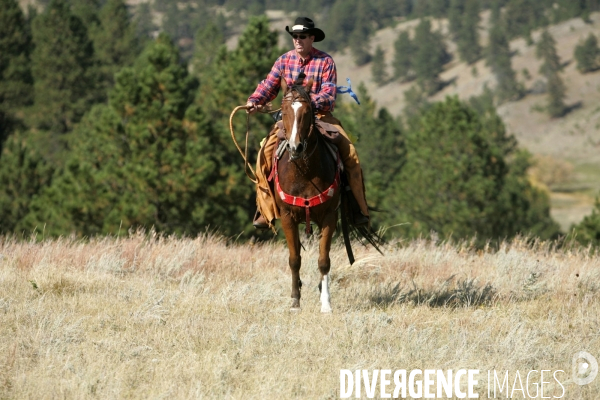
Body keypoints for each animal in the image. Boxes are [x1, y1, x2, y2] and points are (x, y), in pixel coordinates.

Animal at [274, 79, 340, 312]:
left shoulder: (329, 216)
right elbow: (294, 259)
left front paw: (326, 304)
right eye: (284, 111)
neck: (305, 172)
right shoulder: (287, 217)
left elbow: (324, 261)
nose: (296, 147)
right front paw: (295, 301)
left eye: (307, 112)